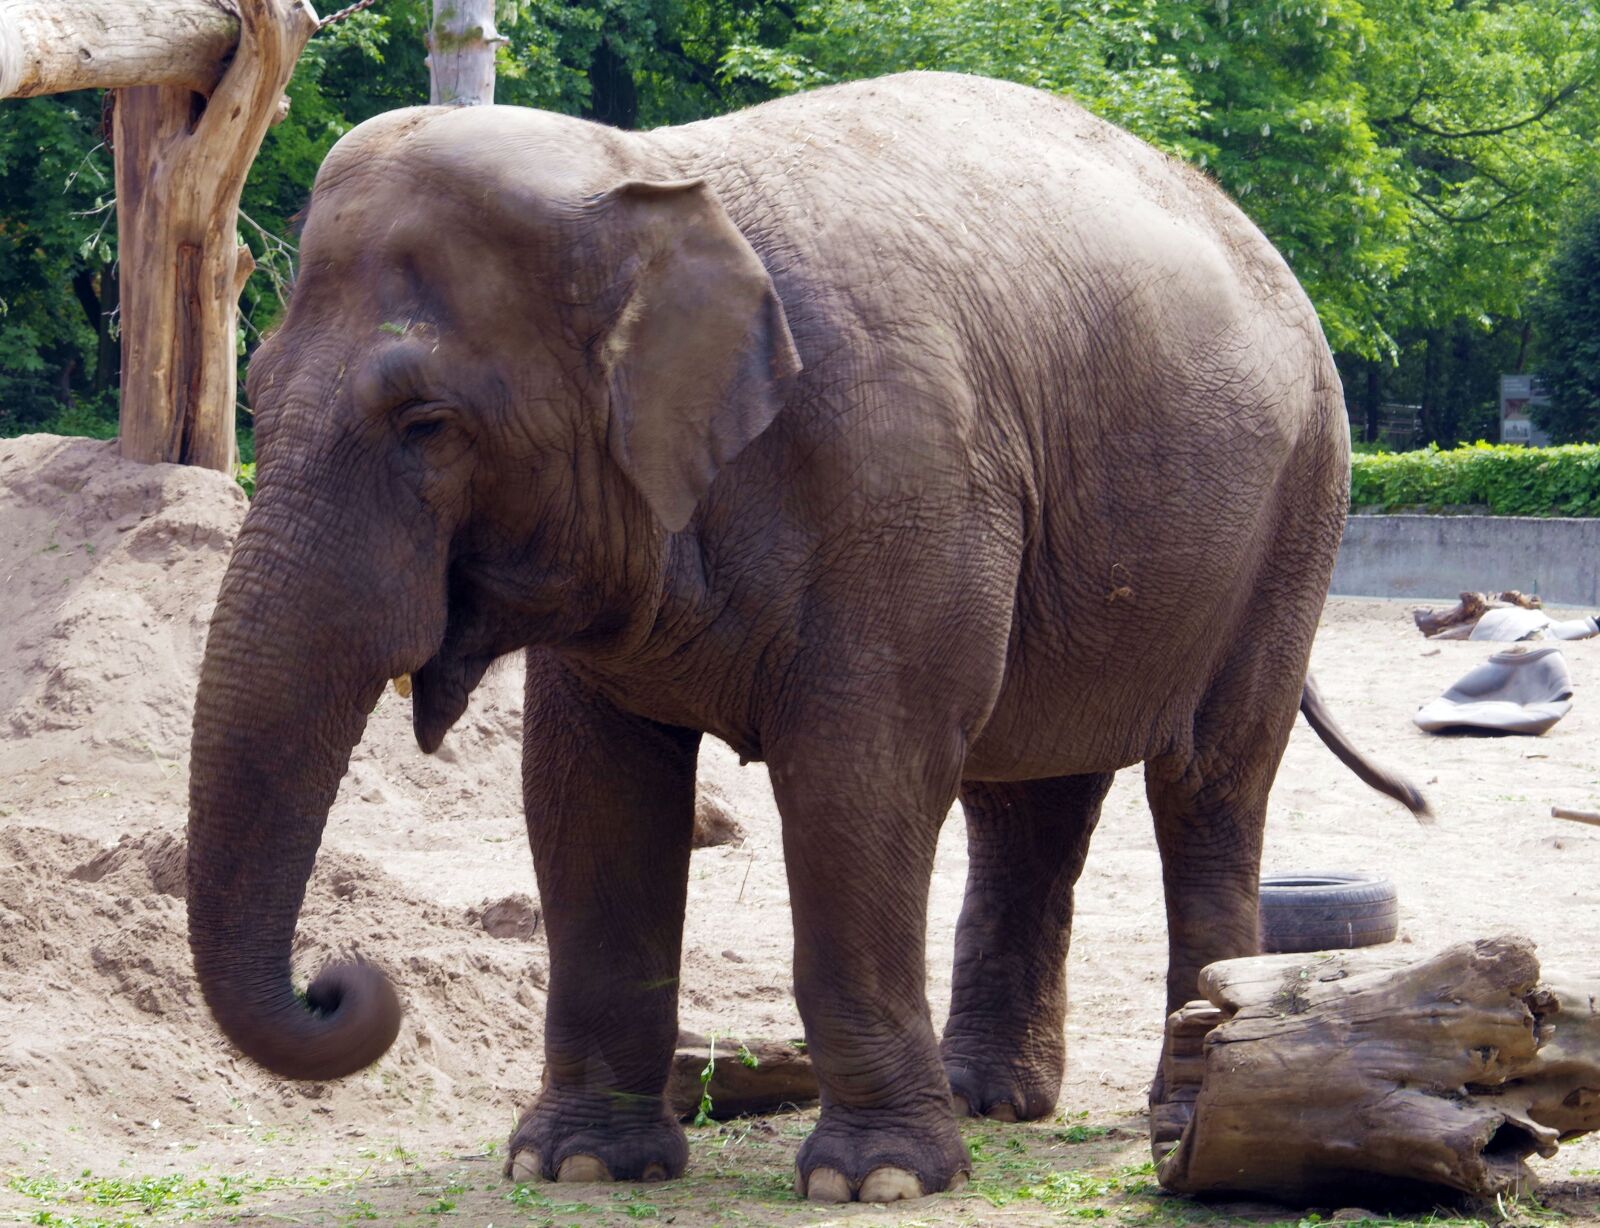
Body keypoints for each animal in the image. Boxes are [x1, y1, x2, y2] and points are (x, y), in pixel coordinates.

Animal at [187, 71, 1425, 1205]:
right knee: (1029, 797)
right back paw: (989, 1098)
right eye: (256, 389)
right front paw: (576, 1162)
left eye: (427, 423)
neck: (655, 175)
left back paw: (1182, 1102)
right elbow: (586, 792)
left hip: (1295, 512)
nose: (338, 980)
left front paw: (873, 1180)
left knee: (1209, 781)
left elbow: (857, 776)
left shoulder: (902, 483)